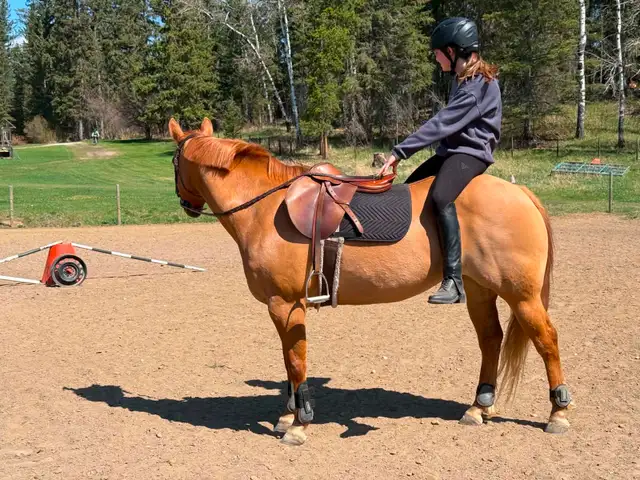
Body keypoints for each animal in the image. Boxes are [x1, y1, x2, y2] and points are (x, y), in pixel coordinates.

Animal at [168, 117, 573, 446]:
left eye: (173, 161)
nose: (187, 205)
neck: (266, 209)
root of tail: (519, 192)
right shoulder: (284, 307)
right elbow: (288, 362)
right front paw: (287, 415)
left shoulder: (285, 304)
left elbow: (296, 362)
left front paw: (299, 424)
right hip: (479, 290)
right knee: (491, 340)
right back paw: (478, 407)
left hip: (522, 296)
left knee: (547, 341)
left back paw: (558, 413)